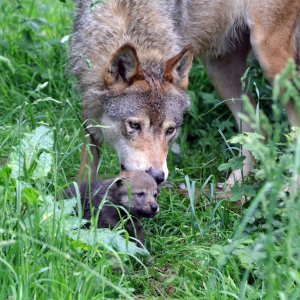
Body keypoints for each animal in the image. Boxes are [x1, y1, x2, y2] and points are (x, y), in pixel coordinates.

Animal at [71, 0, 300, 184]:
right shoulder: (88, 105)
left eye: (170, 130)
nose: (157, 177)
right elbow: (87, 167)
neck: (129, 19)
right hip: (219, 69)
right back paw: (232, 191)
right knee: (258, 128)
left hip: (269, 59)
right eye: (134, 125)